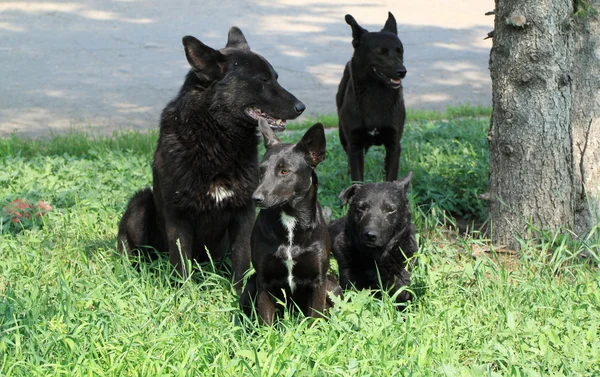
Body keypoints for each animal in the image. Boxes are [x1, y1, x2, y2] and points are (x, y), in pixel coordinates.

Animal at [116, 27, 304, 294]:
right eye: (263, 80)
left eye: (275, 77)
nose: (302, 107)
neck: (215, 136)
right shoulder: (178, 216)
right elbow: (181, 262)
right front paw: (182, 295)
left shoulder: (244, 213)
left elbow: (241, 258)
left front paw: (238, 293)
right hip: (140, 204)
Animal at [240, 118, 342, 324]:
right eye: (261, 171)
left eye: (284, 171)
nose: (255, 198)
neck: (290, 220)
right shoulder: (263, 280)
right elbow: (266, 321)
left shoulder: (319, 280)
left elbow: (315, 318)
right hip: (249, 287)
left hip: (332, 286)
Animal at [338, 11, 408, 181]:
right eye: (380, 52)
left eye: (400, 51)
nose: (402, 72)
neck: (376, 93)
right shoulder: (355, 145)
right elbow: (357, 177)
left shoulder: (394, 145)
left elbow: (390, 177)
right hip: (343, 135)